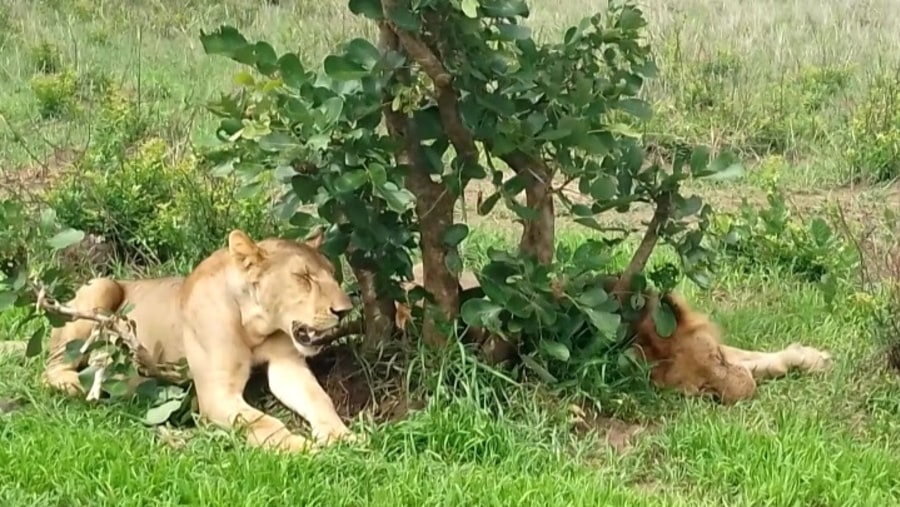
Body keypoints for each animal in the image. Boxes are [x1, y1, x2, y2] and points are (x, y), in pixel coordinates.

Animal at [41, 229, 358, 452]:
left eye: (332, 274)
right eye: (303, 277)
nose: (345, 310)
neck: (256, 326)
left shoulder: (286, 365)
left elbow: (319, 399)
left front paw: (343, 436)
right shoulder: (217, 393)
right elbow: (262, 421)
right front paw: (301, 446)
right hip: (101, 286)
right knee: (50, 368)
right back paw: (78, 383)